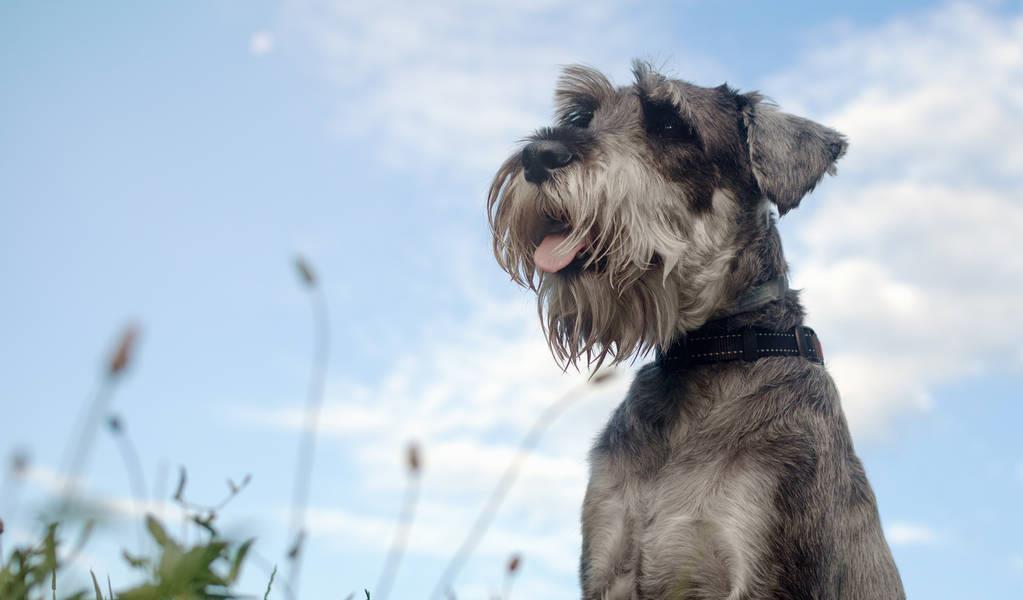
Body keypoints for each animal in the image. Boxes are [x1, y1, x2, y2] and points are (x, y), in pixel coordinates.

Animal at [486, 63, 904, 596]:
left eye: (671, 124)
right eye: (582, 116)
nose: (538, 155)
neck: (707, 353)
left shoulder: (759, 571)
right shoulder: (607, 561)